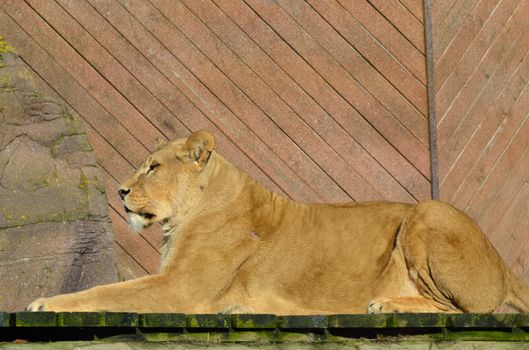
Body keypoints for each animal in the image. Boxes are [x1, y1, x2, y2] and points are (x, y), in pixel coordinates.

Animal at [26, 131, 528, 314]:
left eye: (153, 167)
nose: (120, 192)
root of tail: (504, 266)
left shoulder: (181, 288)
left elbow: (105, 292)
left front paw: (45, 302)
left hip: (427, 210)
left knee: (466, 311)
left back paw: (386, 305)